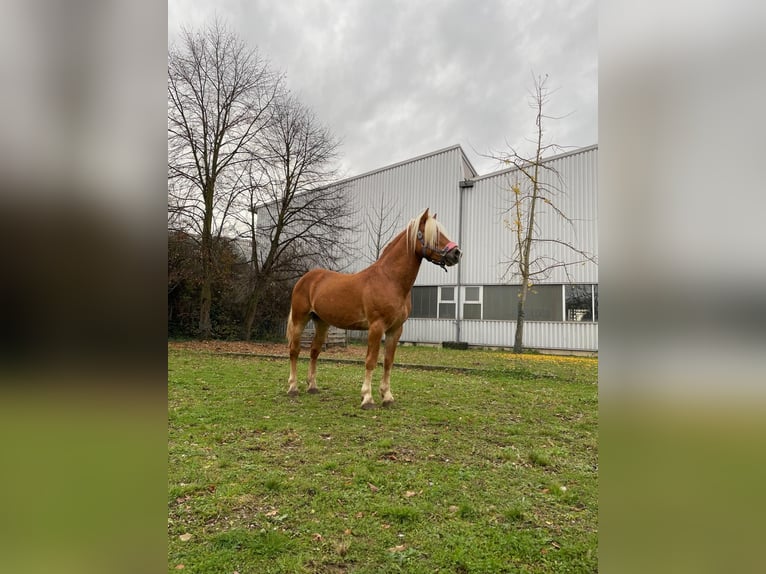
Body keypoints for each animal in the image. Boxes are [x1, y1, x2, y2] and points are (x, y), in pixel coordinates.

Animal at [286, 209, 462, 412]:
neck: (390, 280)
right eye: (434, 234)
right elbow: (370, 361)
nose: (457, 253)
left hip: (321, 322)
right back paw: (293, 388)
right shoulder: (376, 327)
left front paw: (387, 397)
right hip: (300, 319)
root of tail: (306, 278)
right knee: (294, 350)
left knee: (314, 351)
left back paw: (312, 387)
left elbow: (387, 362)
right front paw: (367, 399)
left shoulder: (395, 329)